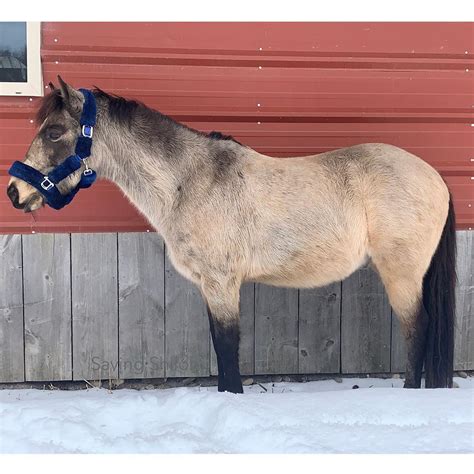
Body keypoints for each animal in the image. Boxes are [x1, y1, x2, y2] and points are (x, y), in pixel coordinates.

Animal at [5, 78, 454, 394]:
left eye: (54, 132)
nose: (14, 192)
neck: (190, 181)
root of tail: (435, 177)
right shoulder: (211, 285)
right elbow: (219, 345)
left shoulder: (222, 283)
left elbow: (226, 345)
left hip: (401, 274)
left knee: (418, 329)